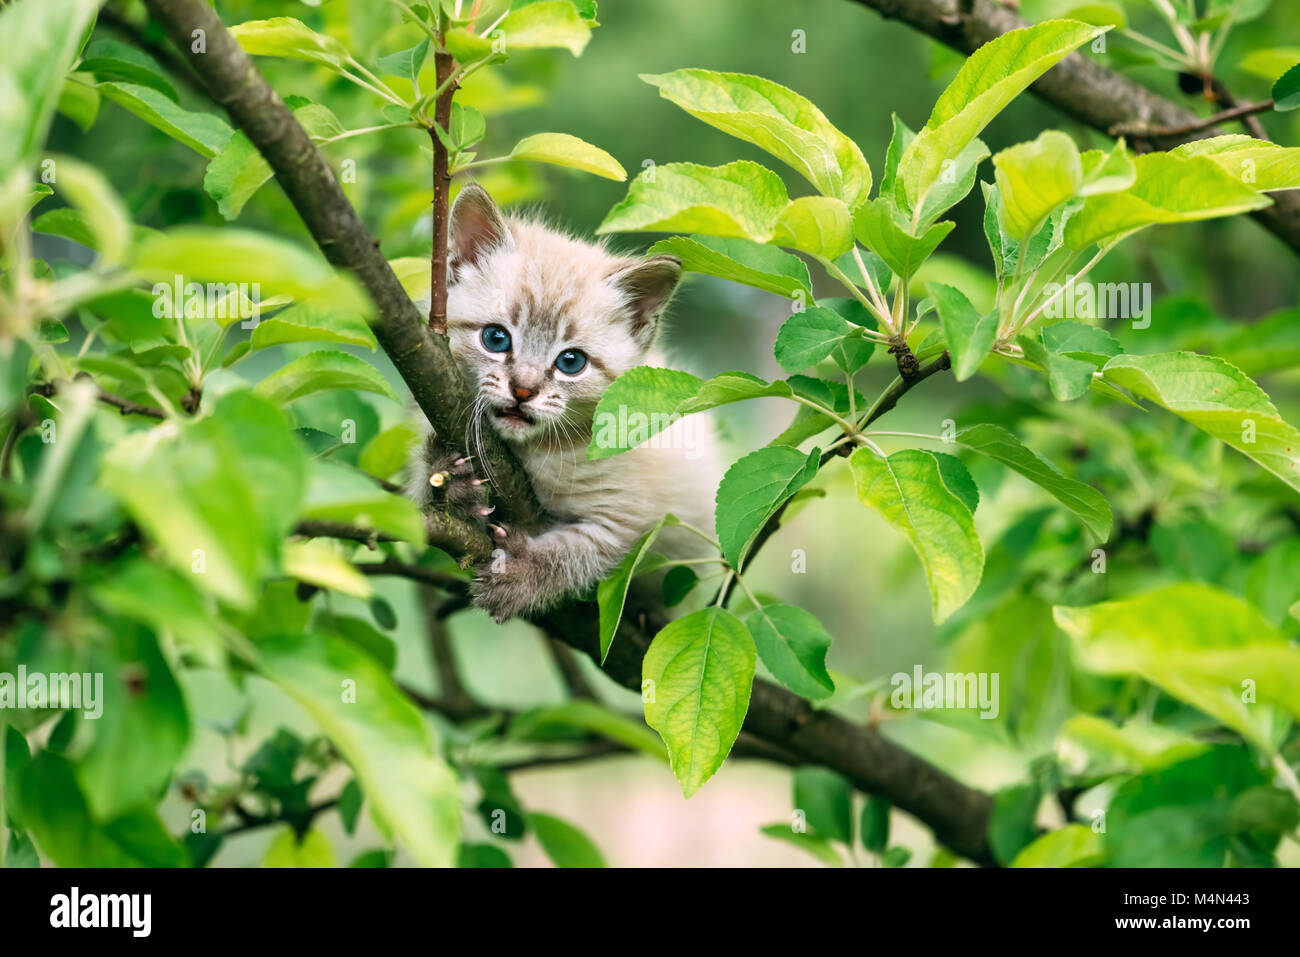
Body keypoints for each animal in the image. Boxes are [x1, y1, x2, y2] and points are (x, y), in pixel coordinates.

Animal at [408, 185, 722, 621]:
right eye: (495, 339)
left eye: (571, 362)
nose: (523, 389)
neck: (533, 450)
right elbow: (420, 502)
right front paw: (452, 482)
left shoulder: (628, 517)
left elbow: (577, 554)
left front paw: (519, 574)